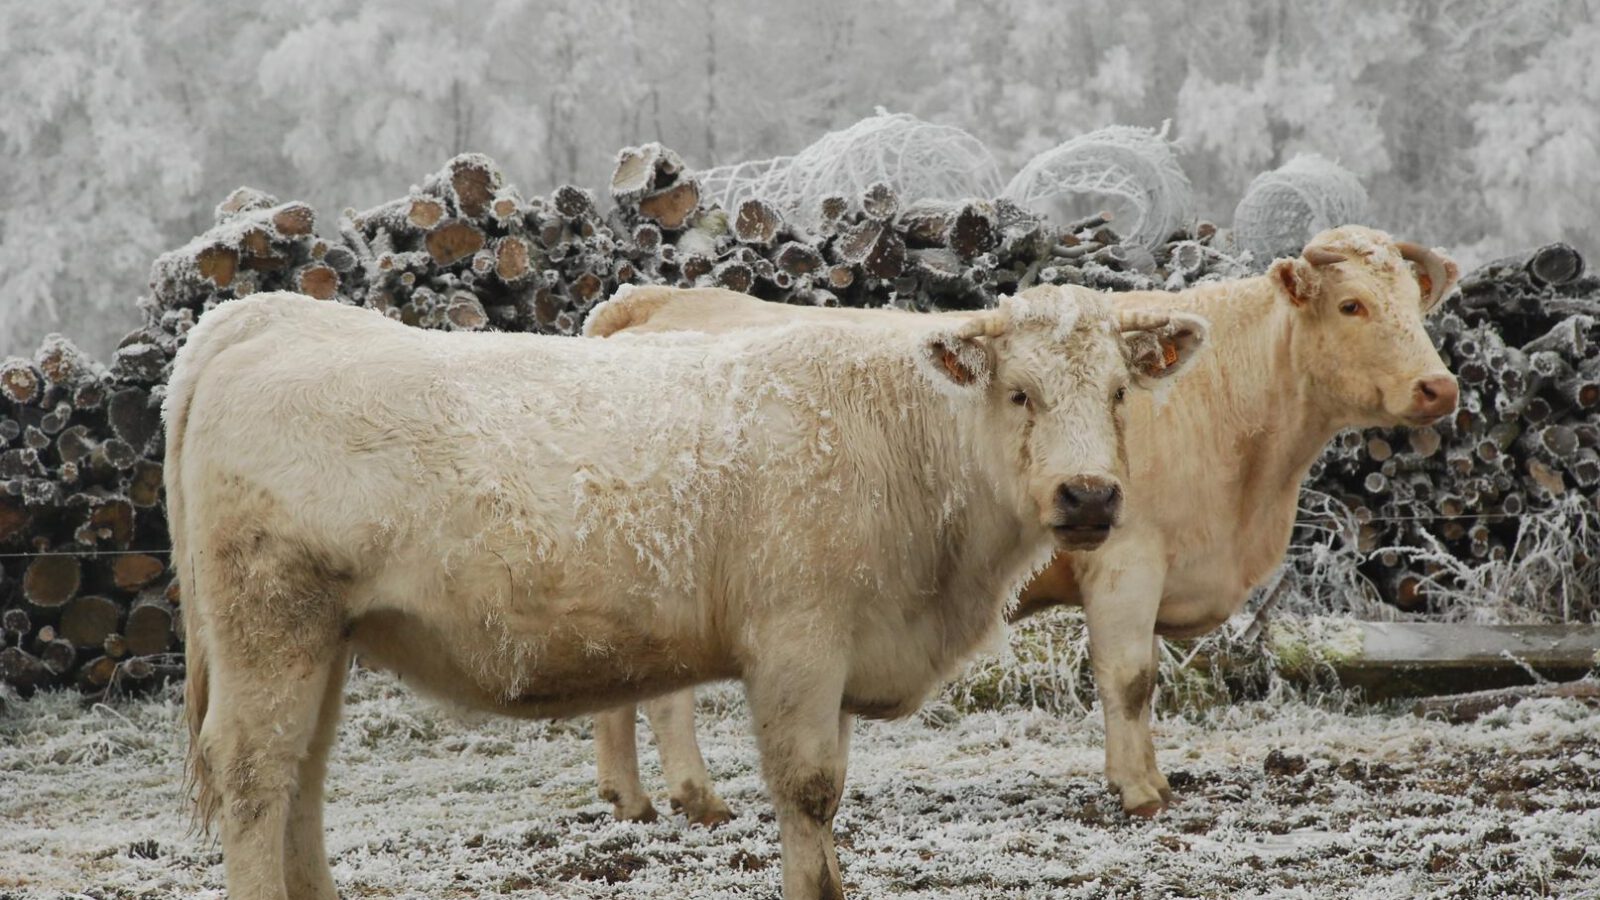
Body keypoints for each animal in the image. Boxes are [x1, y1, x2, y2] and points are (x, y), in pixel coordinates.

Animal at [168, 286, 1203, 896]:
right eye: (1020, 392)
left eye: (1119, 392)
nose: (1089, 496)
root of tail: (265, 316)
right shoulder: (795, 644)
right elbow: (810, 792)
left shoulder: (842, 659)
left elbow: (831, 792)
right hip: (271, 623)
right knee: (255, 776)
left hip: (323, 639)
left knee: (300, 776)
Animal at [592, 225, 1465, 819]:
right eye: (1352, 305)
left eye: (1416, 305)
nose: (1438, 387)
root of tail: (651, 301)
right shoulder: (1126, 559)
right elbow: (1131, 678)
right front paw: (1141, 790)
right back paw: (697, 797)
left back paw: (630, 798)